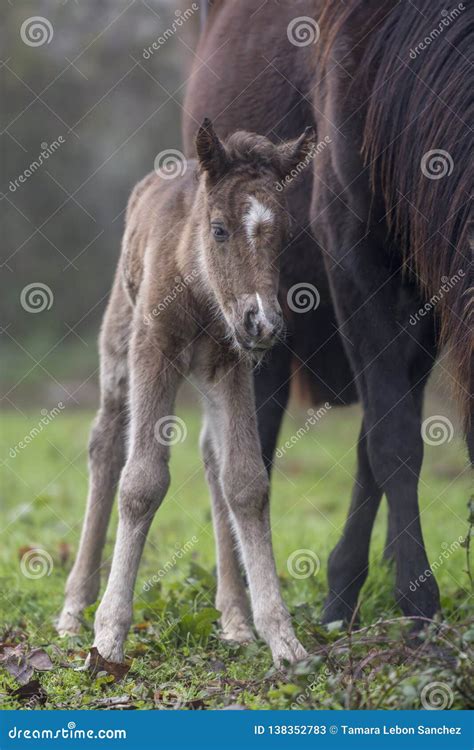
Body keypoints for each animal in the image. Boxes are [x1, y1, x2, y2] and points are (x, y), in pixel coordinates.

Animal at [57, 120, 312, 668]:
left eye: (284, 234)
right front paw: (108, 635)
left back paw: (234, 617)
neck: (196, 287)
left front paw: (282, 638)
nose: (263, 323)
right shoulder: (152, 351)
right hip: (119, 341)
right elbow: (141, 482)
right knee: (105, 443)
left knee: (213, 458)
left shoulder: (231, 364)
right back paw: (72, 609)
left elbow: (246, 482)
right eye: (218, 228)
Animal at [183, 0, 472, 628]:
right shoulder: (350, 251)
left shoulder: (426, 289)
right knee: (258, 419)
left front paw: (349, 582)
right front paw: (417, 602)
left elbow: (381, 435)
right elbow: (394, 438)